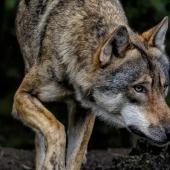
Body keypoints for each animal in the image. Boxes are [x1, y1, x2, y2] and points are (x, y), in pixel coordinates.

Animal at [13, 0, 170, 169]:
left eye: (164, 87)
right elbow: (56, 127)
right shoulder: (21, 95)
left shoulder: (85, 110)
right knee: (40, 137)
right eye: (139, 88)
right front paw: (54, 160)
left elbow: (74, 156)